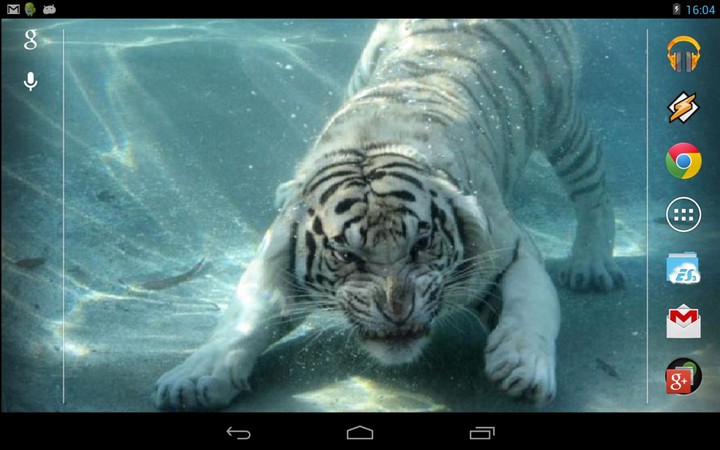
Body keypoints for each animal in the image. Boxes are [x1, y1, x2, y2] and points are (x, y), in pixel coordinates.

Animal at [154, 19, 624, 410]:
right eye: (346, 256)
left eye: (422, 243)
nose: (398, 310)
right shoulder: (274, 259)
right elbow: (241, 321)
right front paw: (193, 379)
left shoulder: (511, 248)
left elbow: (531, 305)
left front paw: (523, 366)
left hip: (563, 120)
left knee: (594, 182)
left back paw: (591, 265)